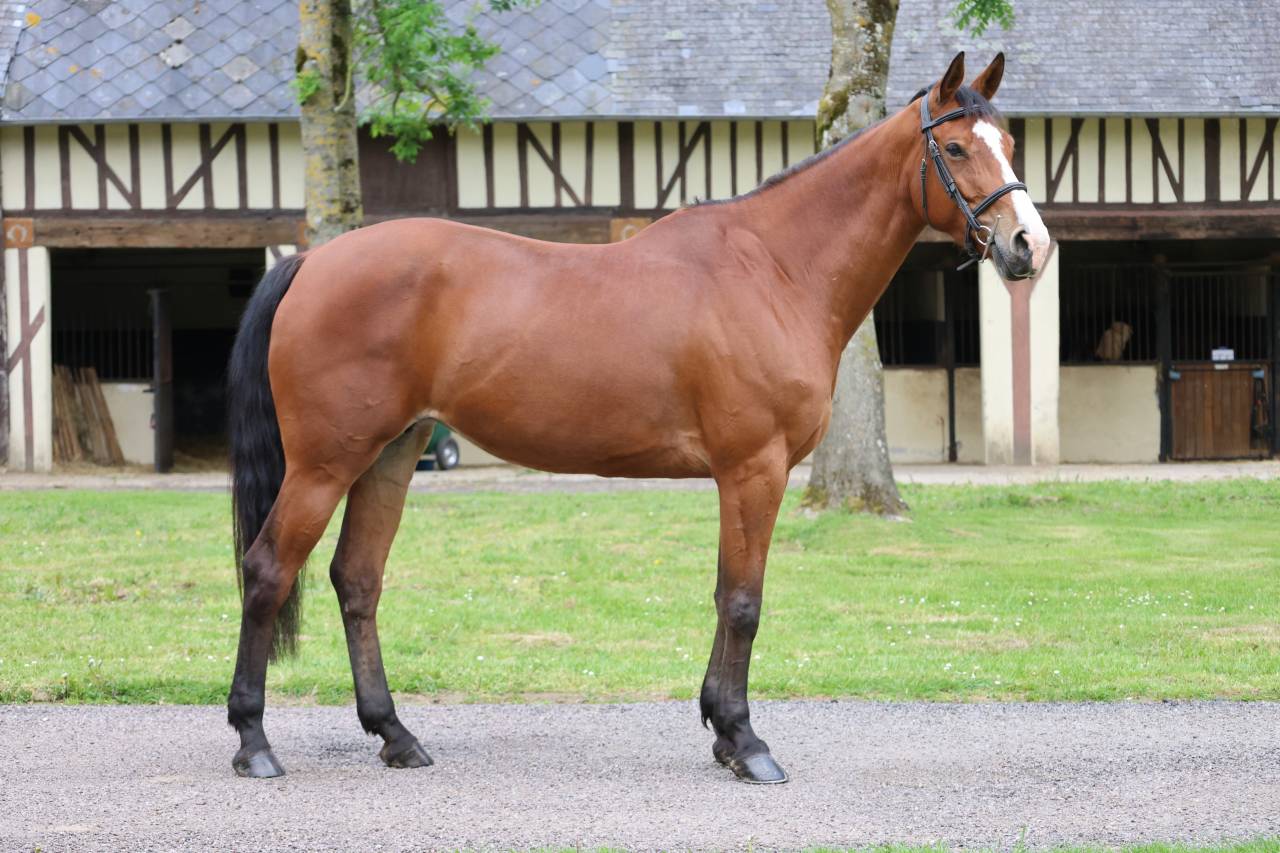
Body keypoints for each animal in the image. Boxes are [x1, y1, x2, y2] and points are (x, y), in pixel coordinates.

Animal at [225, 51, 1050, 784]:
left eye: (1009, 145)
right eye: (953, 146)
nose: (1029, 245)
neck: (775, 268)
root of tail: (313, 261)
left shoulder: (741, 475)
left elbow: (724, 594)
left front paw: (720, 728)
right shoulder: (754, 467)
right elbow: (743, 601)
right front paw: (746, 742)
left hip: (391, 453)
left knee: (357, 579)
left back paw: (395, 734)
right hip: (326, 461)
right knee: (268, 570)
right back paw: (254, 741)